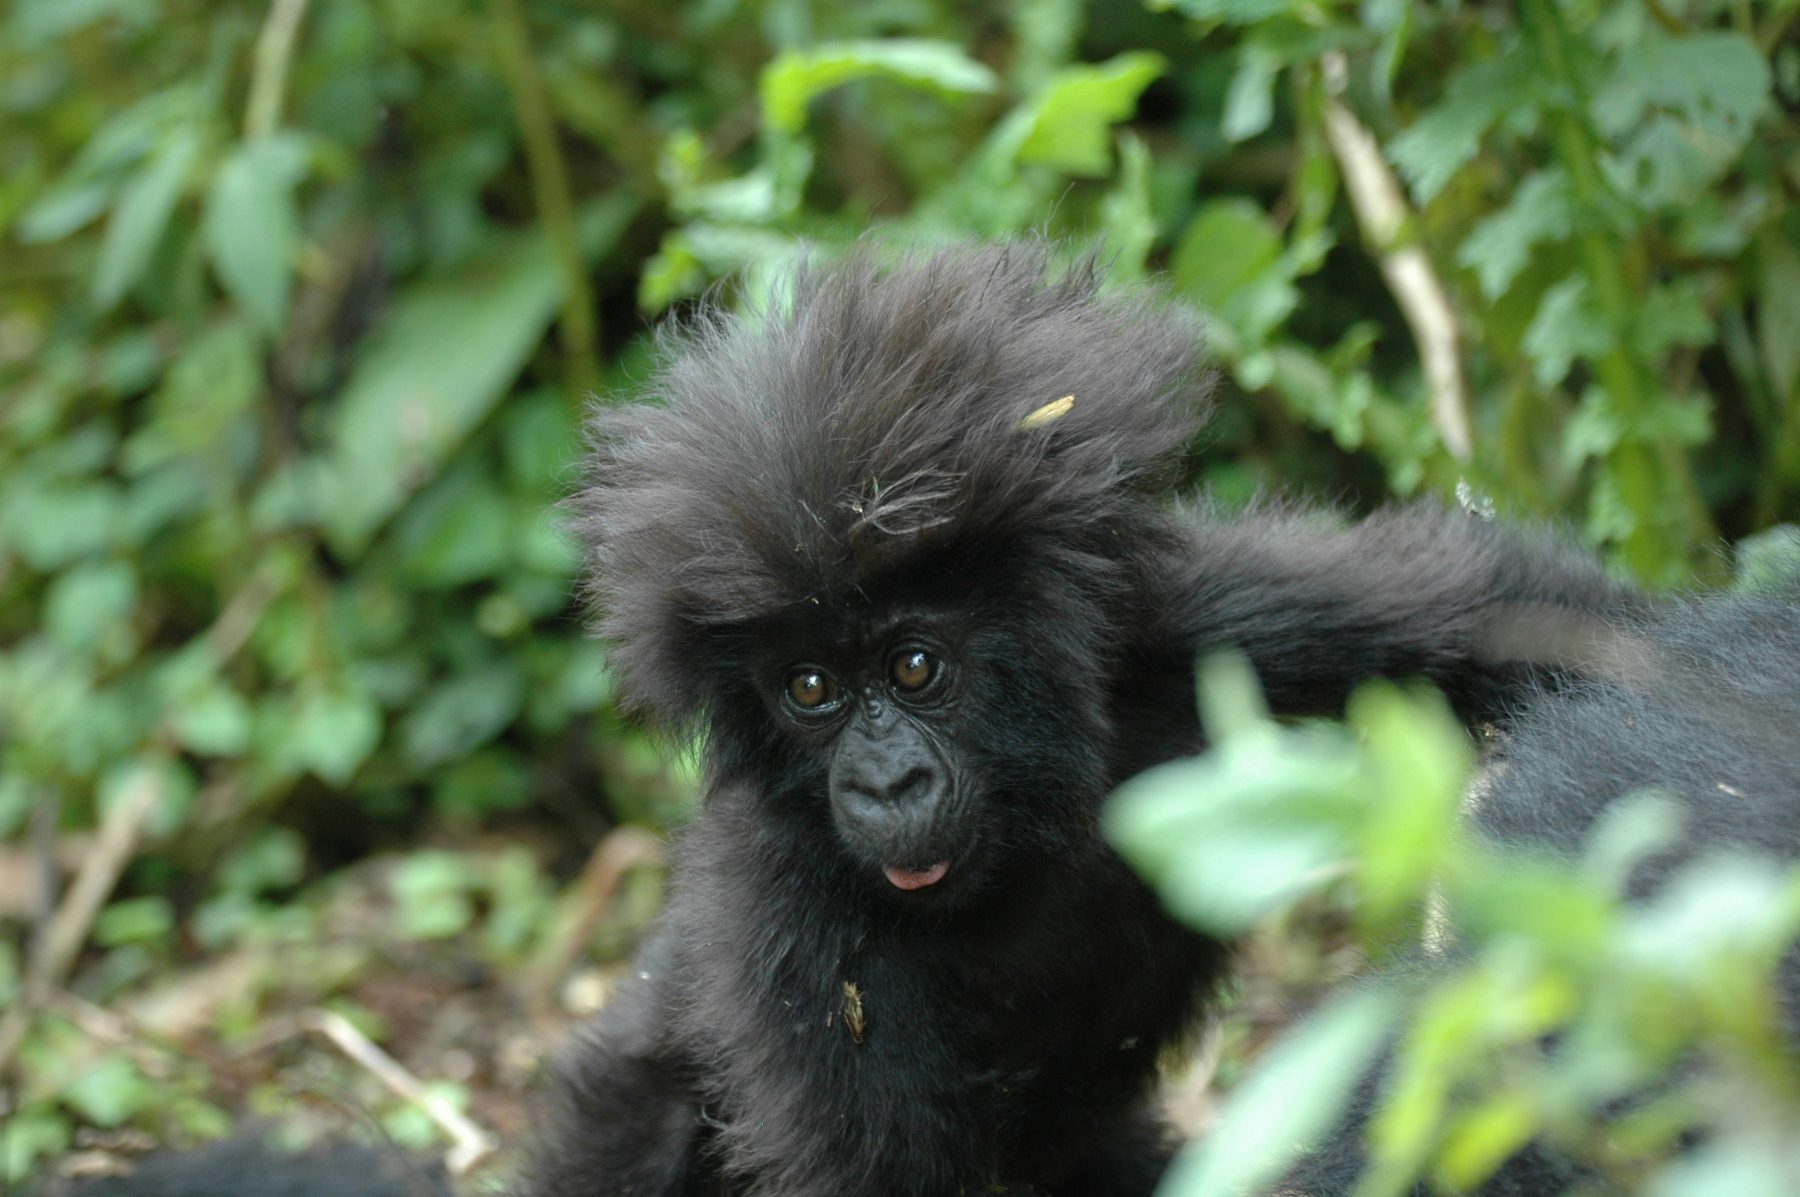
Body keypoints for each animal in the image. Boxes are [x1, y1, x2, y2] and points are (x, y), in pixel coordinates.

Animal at [525, 244, 1648, 1195]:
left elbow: (1502, 612)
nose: (886, 784)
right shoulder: (787, 914)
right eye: (808, 690)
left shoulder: (1182, 628)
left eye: (915, 665)